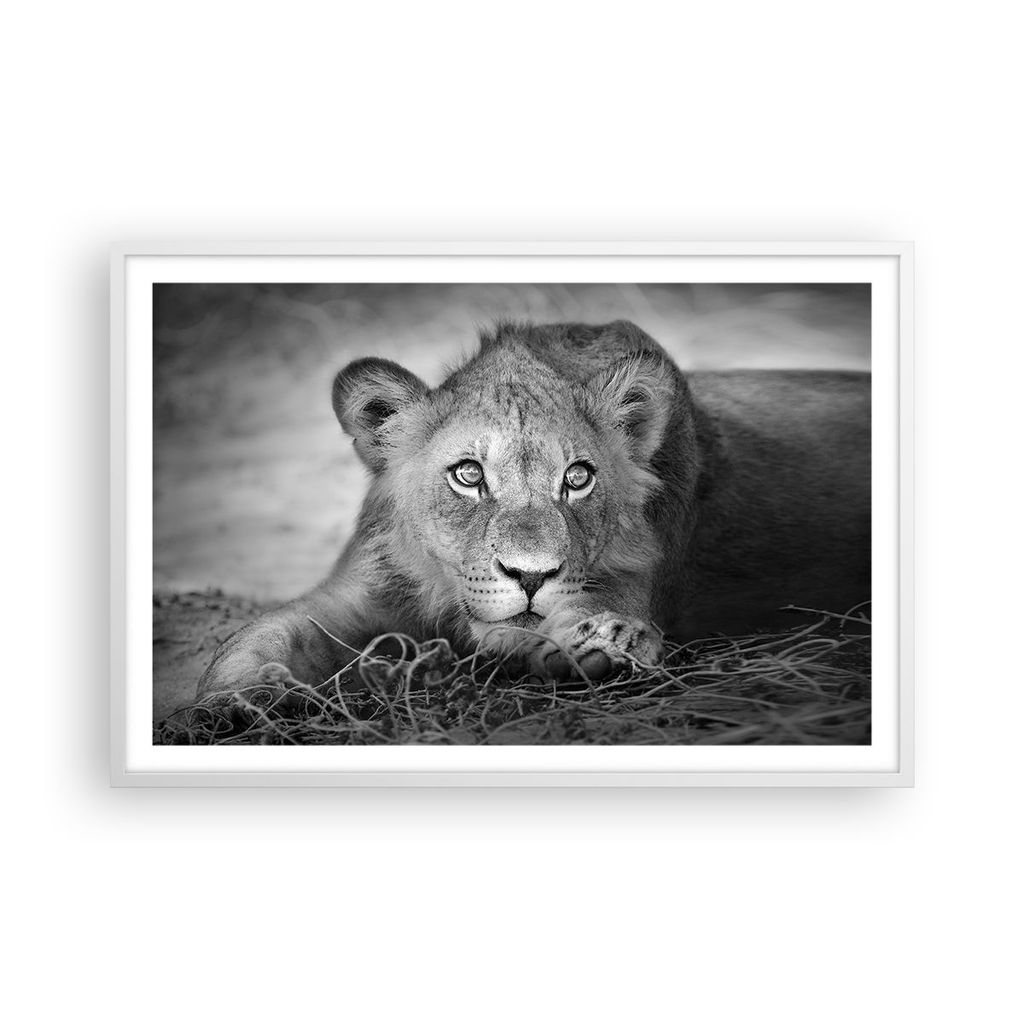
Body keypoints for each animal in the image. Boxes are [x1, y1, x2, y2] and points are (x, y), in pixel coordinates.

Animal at [197, 318, 870, 695]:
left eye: (577, 478)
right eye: (468, 475)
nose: (530, 576)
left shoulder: (632, 581)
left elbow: (581, 617)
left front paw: (604, 644)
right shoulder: (358, 592)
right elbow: (262, 634)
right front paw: (234, 701)